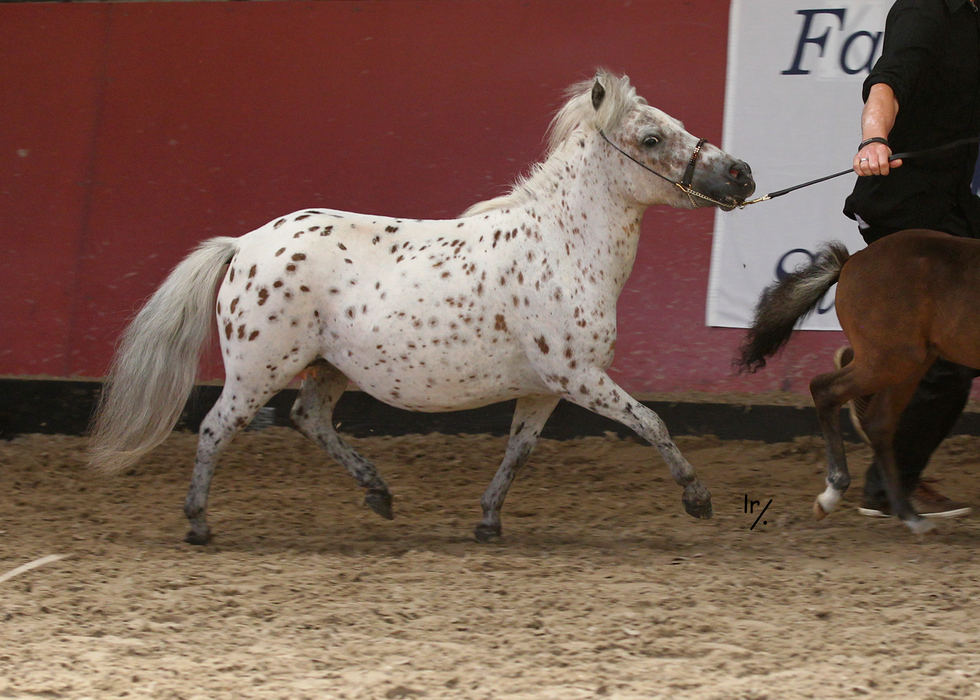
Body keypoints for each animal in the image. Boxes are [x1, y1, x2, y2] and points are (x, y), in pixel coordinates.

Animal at [89, 70, 756, 544]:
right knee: (216, 427)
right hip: (259, 370)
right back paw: (199, 523)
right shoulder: (579, 377)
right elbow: (652, 422)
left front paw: (488, 522)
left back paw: (379, 494)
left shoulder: (546, 388)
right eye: (651, 138)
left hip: (328, 368)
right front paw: (697, 500)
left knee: (308, 418)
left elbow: (519, 451)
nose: (742, 174)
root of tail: (244, 244)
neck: (562, 246)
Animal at [736, 229, 980, 534]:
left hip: (909, 362)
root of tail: (851, 261)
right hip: (891, 360)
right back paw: (835, 493)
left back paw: (908, 514)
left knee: (878, 422)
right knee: (825, 390)